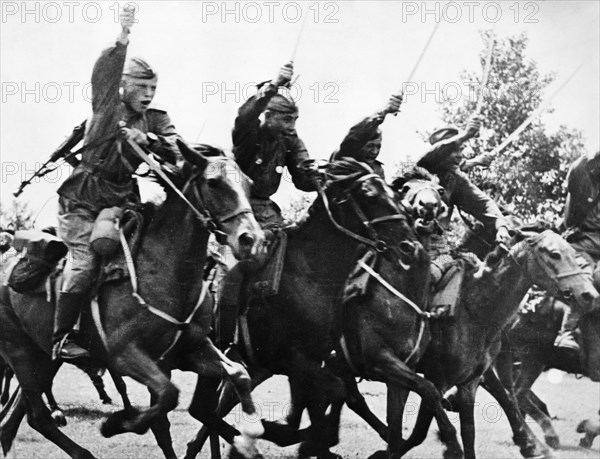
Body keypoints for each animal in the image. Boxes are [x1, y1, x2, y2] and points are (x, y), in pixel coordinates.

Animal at [0, 145, 268, 459]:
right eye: (213, 182)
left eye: (248, 184)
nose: (252, 240)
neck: (163, 271)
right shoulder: (125, 355)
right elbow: (168, 397)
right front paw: (115, 424)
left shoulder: (193, 349)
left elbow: (239, 374)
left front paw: (249, 435)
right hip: (20, 352)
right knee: (35, 415)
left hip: (43, 357)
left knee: (21, 418)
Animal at [183, 161, 464, 459]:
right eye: (371, 195)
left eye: (439, 190)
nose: (409, 246)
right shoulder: (351, 361)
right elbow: (345, 397)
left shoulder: (388, 370)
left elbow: (414, 405)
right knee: (206, 409)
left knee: (210, 407)